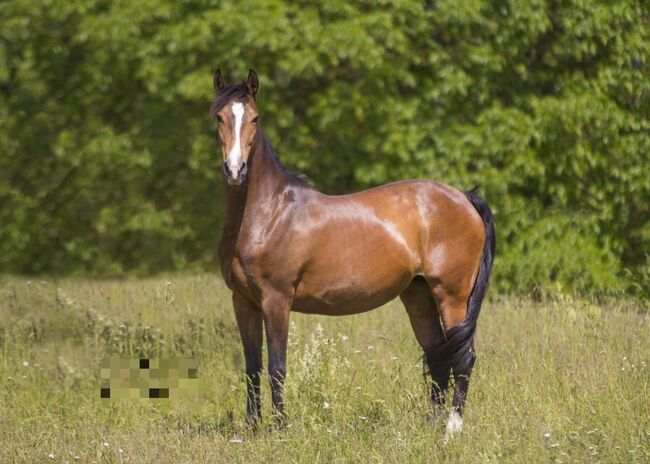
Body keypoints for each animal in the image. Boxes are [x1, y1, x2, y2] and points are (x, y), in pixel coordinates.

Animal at [210, 69, 494, 438]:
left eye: (255, 119)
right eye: (219, 117)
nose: (235, 170)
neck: (268, 213)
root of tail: (464, 197)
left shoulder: (277, 300)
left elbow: (276, 367)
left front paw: (281, 429)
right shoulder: (243, 302)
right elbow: (252, 367)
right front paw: (251, 429)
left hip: (452, 296)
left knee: (463, 357)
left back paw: (451, 429)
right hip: (419, 295)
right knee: (438, 356)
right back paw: (430, 426)